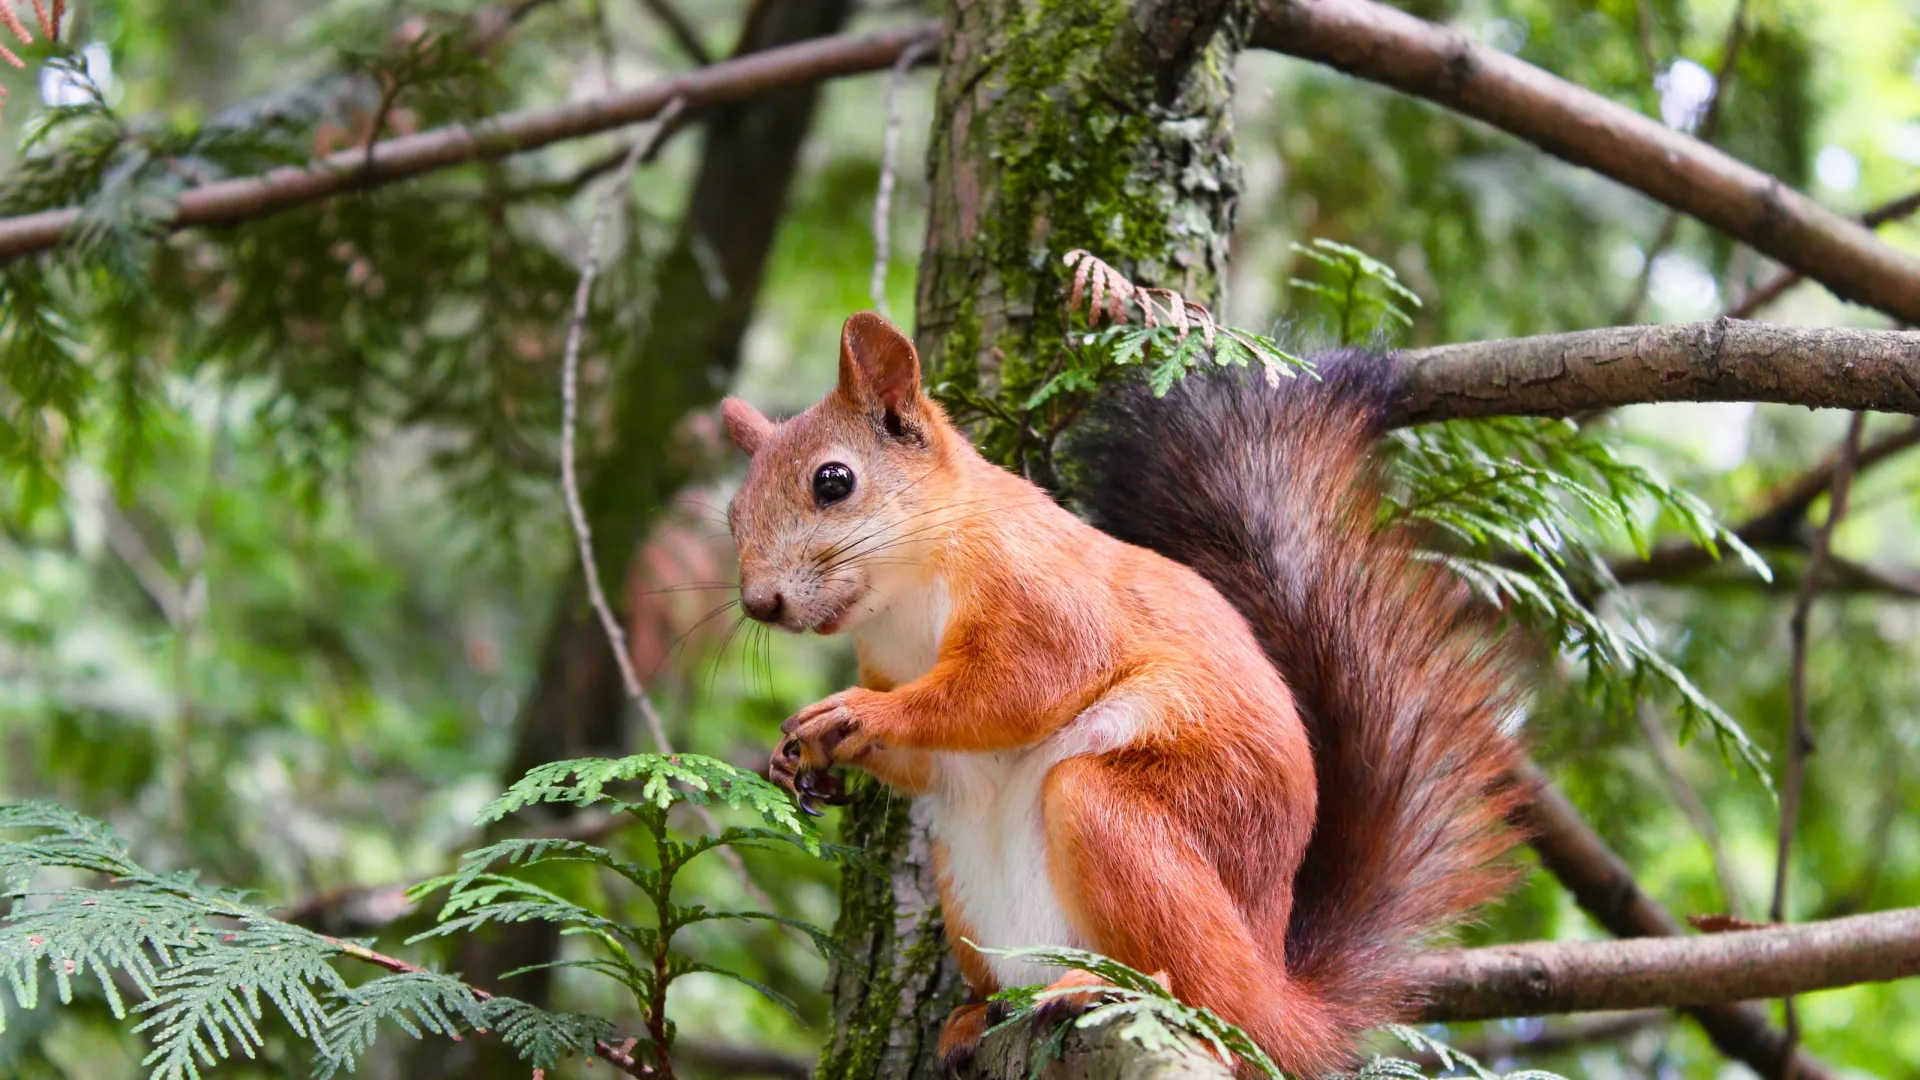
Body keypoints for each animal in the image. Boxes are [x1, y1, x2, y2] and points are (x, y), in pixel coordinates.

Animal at [721, 307, 1528, 1068]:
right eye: (731, 514)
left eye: (833, 481)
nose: (760, 604)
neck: (905, 598)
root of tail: (1280, 997)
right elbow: (932, 760)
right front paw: (801, 760)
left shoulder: (1043, 595)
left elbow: (1014, 688)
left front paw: (861, 715)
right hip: (967, 890)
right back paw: (974, 1016)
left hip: (1124, 818)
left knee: (1205, 994)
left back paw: (1109, 989)